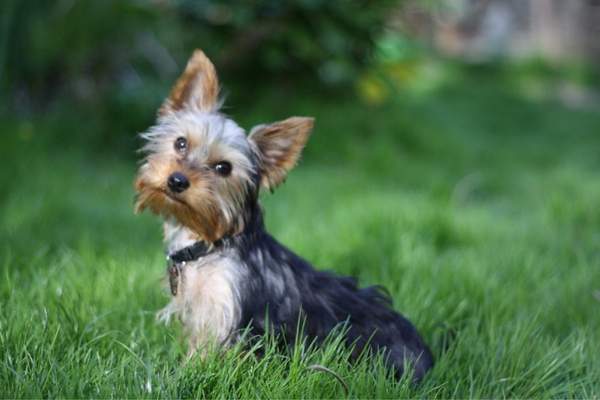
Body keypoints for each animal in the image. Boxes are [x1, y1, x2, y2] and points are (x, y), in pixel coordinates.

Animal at [134, 48, 434, 380]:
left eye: (223, 168)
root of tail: (426, 357)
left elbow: (206, 358)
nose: (177, 180)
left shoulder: (227, 317)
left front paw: (185, 376)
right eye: (180, 143)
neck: (209, 240)